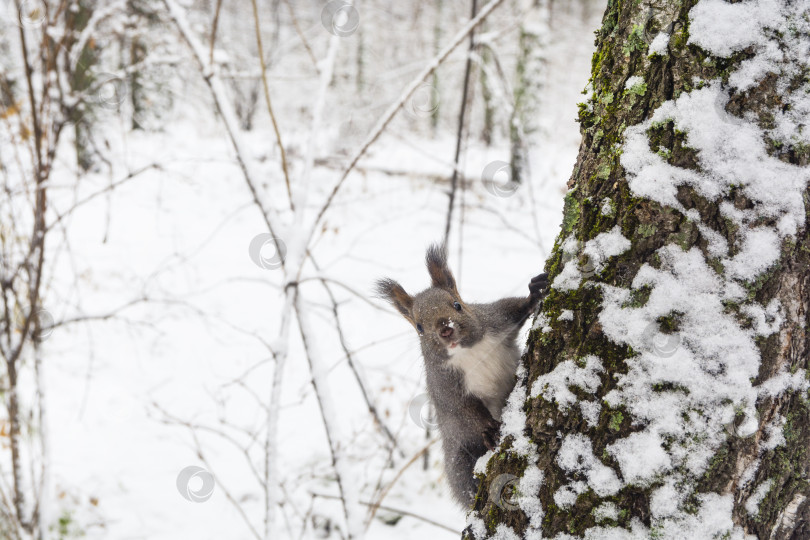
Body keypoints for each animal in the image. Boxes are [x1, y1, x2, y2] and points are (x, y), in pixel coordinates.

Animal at [378, 245, 548, 506]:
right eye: (419, 327)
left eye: (457, 304)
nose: (445, 329)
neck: (467, 350)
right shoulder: (444, 383)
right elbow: (464, 409)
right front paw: (491, 430)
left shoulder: (495, 319)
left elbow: (514, 310)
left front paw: (535, 292)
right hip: (459, 454)